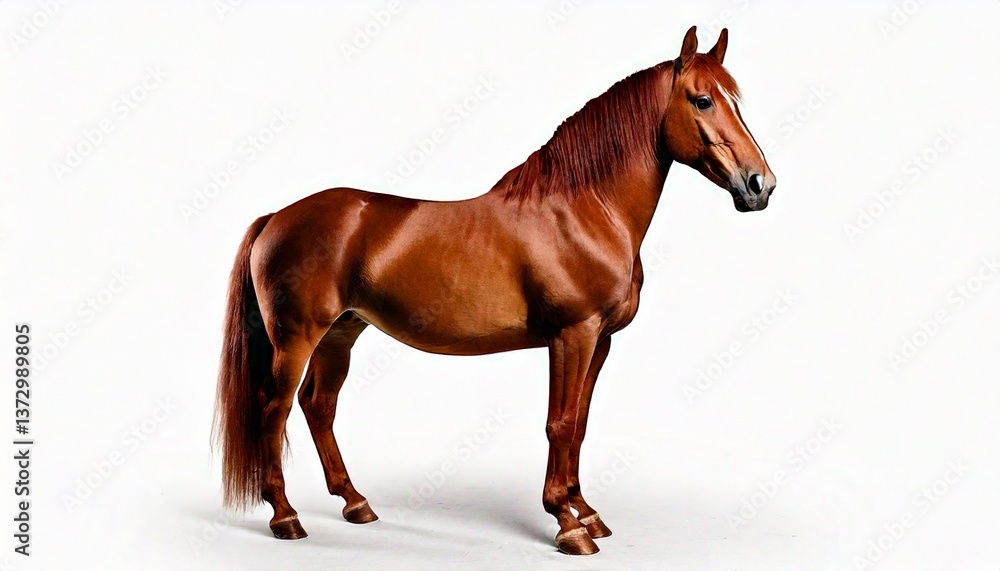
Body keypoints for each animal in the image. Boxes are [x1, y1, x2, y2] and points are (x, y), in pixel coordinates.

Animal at [214, 26, 775, 556]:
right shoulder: (572, 335)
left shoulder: (601, 340)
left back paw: (356, 504)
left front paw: (587, 512)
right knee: (274, 409)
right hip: (296, 337)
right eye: (702, 100)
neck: (584, 209)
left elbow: (580, 423)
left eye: (735, 100)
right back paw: (285, 517)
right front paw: (567, 523)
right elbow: (559, 424)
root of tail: (277, 217)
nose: (759, 185)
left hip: (341, 332)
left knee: (319, 406)